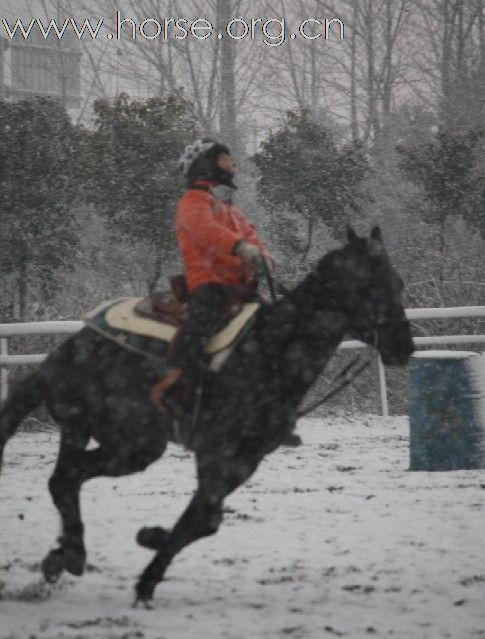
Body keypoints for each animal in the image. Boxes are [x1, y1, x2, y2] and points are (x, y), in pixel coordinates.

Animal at [0, 226, 412, 604]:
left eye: (398, 282)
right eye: (372, 285)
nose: (403, 346)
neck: (271, 352)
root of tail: (59, 357)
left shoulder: (245, 460)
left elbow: (204, 520)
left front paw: (151, 543)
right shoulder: (217, 451)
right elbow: (204, 518)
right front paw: (146, 577)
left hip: (94, 435)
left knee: (63, 480)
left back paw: (65, 555)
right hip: (130, 442)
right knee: (66, 478)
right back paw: (70, 554)